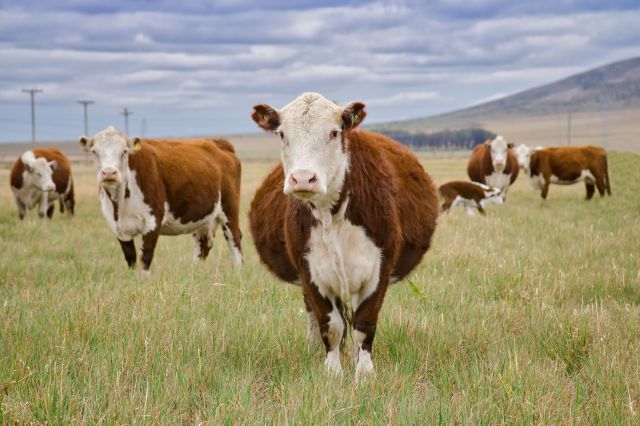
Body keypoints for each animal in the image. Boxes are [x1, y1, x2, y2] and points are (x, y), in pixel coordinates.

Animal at [79, 126, 242, 271]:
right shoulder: (119, 229)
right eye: (94, 152)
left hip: (229, 210)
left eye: (124, 151)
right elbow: (130, 258)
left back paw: (238, 272)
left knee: (234, 239)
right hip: (203, 216)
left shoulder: (152, 222)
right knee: (202, 244)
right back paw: (194, 272)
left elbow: (145, 257)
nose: (109, 172)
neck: (119, 203)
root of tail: (218, 143)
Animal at [249, 92, 439, 381]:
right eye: (282, 134)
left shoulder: (379, 269)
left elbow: (364, 323)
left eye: (334, 132)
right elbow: (331, 325)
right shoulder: (309, 271)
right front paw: (332, 372)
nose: (302, 178)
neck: (332, 216)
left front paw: (365, 374)